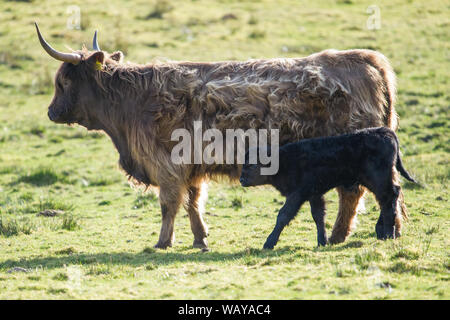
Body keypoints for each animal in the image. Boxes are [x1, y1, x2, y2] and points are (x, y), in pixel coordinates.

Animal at [241, 126, 416, 249]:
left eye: (252, 164)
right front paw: (322, 241)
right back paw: (382, 231)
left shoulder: (297, 194)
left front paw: (269, 243)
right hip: (374, 181)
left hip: (378, 179)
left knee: (389, 197)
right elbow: (319, 216)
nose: (241, 179)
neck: (284, 160)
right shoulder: (314, 194)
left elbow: (284, 215)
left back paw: (388, 234)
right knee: (388, 198)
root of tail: (384, 131)